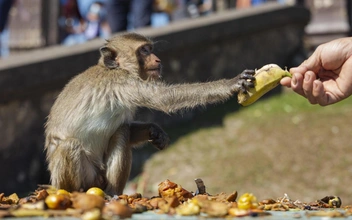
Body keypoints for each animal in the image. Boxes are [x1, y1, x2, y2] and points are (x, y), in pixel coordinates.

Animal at [45, 31, 256, 195]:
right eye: (144, 51)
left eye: (150, 49)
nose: (158, 59)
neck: (114, 68)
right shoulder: (123, 82)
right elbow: (164, 98)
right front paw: (231, 84)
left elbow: (128, 127)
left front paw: (154, 131)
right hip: (78, 178)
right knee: (70, 145)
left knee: (121, 131)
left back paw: (113, 191)